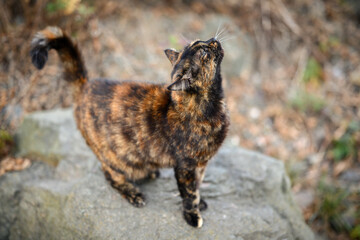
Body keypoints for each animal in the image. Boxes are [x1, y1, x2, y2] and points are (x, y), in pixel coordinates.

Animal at [30, 27, 228, 228]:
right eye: (203, 52)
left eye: (201, 42)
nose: (213, 40)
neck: (210, 107)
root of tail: (85, 85)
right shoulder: (186, 165)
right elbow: (189, 192)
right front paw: (192, 215)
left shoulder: (201, 163)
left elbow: (198, 184)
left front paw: (200, 202)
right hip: (115, 158)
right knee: (110, 174)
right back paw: (133, 193)